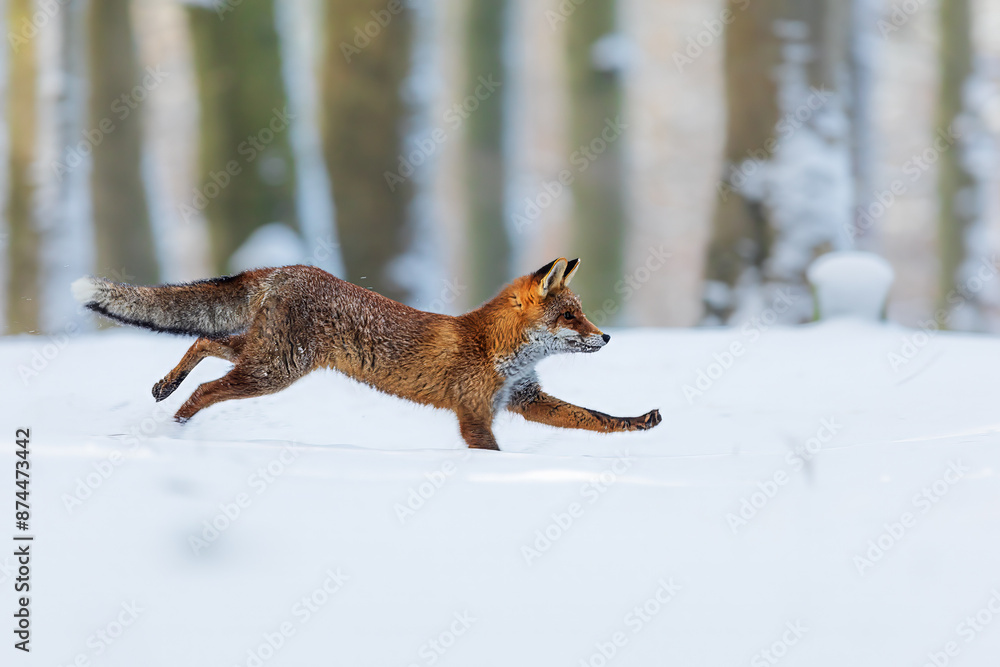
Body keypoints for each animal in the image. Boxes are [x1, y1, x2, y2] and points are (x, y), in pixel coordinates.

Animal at [71, 257, 661, 450]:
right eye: (571, 317)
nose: (607, 337)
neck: (496, 348)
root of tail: (287, 267)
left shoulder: (523, 398)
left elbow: (595, 418)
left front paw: (640, 423)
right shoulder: (474, 415)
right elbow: (492, 453)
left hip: (263, 356)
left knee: (204, 342)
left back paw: (165, 388)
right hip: (272, 370)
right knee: (207, 385)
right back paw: (176, 422)